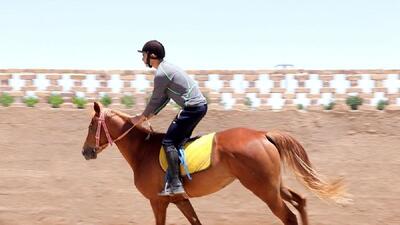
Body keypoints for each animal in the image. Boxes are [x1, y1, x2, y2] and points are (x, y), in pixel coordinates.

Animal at [81, 102, 346, 225]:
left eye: (92, 126)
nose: (86, 152)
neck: (142, 151)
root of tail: (263, 134)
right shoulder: (180, 200)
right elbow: (196, 222)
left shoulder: (157, 202)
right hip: (274, 185)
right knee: (301, 201)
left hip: (264, 189)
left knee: (289, 216)